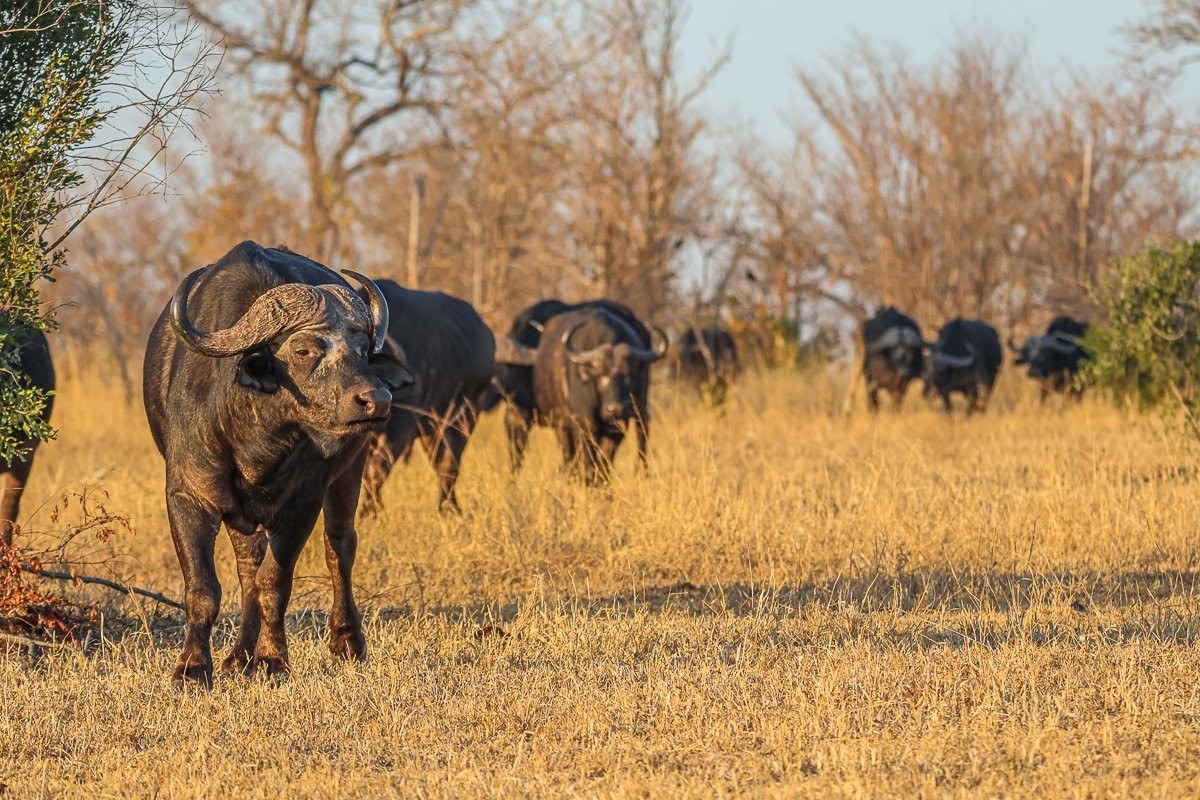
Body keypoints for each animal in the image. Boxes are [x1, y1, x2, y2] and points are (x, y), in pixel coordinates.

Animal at [143, 241, 412, 684]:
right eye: (303, 350)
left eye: (362, 349)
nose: (377, 400)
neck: (255, 439)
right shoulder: (187, 496)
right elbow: (203, 589)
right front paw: (193, 667)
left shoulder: (303, 502)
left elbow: (275, 582)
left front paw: (271, 660)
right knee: (247, 565)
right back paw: (238, 656)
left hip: (350, 472)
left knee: (339, 546)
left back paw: (346, 641)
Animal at [358, 280, 496, 515]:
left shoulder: (403, 426)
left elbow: (376, 469)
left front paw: (369, 513)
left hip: (464, 416)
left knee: (448, 464)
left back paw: (450, 509)